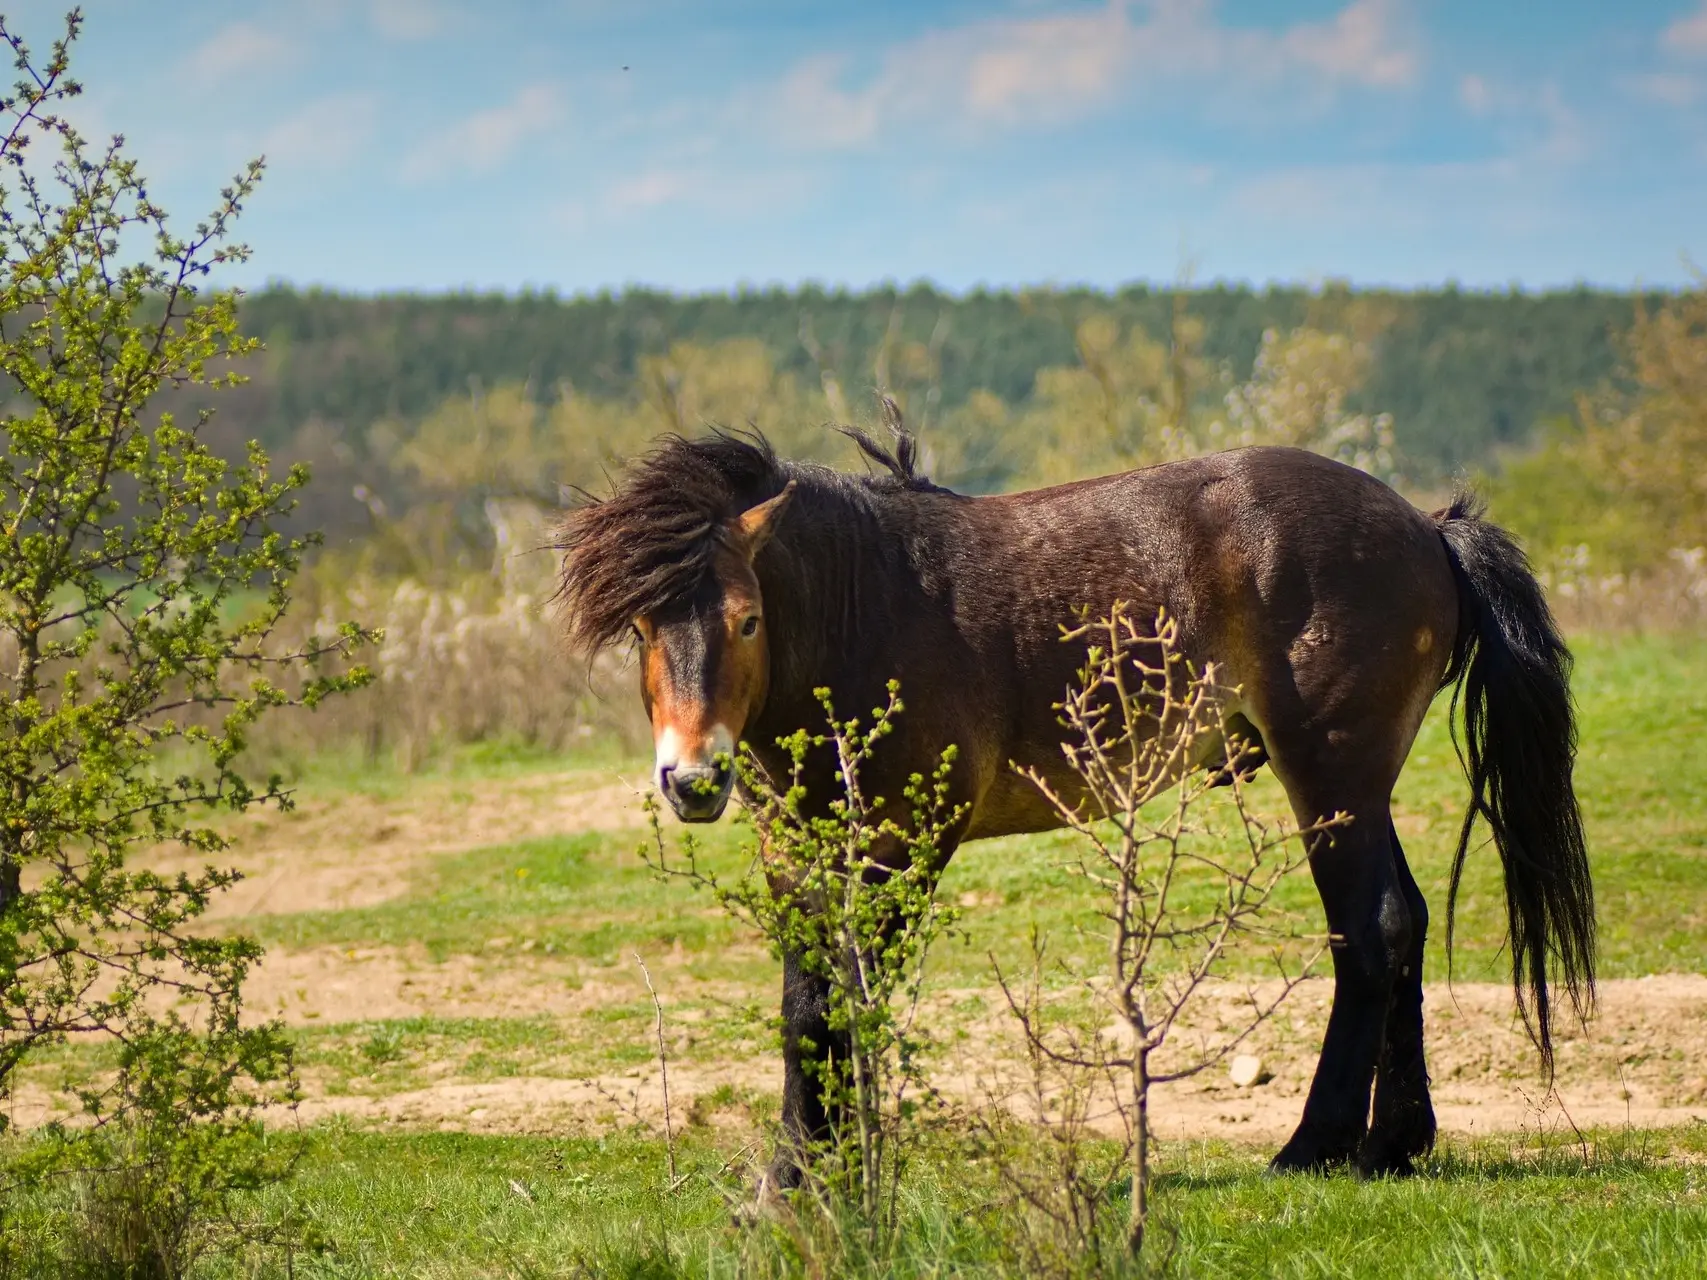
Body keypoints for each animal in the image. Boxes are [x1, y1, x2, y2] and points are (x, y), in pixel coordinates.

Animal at [553, 428, 1590, 1181]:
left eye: (746, 620)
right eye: (642, 625)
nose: (692, 778)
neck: (867, 608)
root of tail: (1425, 526)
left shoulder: (900, 847)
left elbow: (848, 998)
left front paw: (836, 1173)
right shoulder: (799, 850)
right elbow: (805, 1004)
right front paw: (796, 1174)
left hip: (1331, 778)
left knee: (1371, 931)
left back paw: (1315, 1147)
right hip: (1362, 793)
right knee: (1404, 924)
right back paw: (1393, 1145)